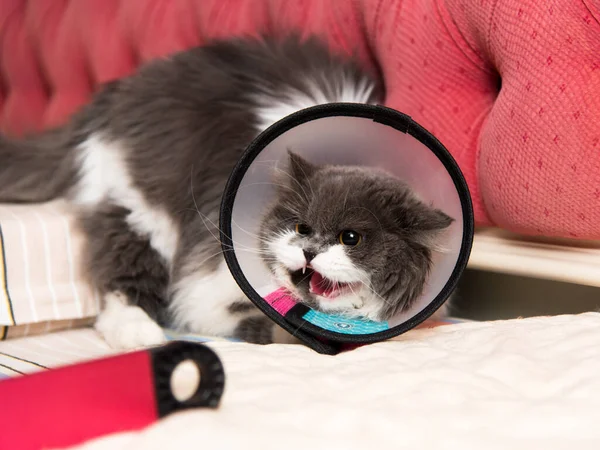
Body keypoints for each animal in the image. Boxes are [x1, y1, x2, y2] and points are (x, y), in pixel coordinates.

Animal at [0, 35, 450, 350]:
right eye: (301, 228)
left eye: (351, 238)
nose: (309, 251)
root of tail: (107, 102)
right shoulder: (205, 288)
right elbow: (250, 321)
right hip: (140, 213)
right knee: (120, 287)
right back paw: (141, 335)